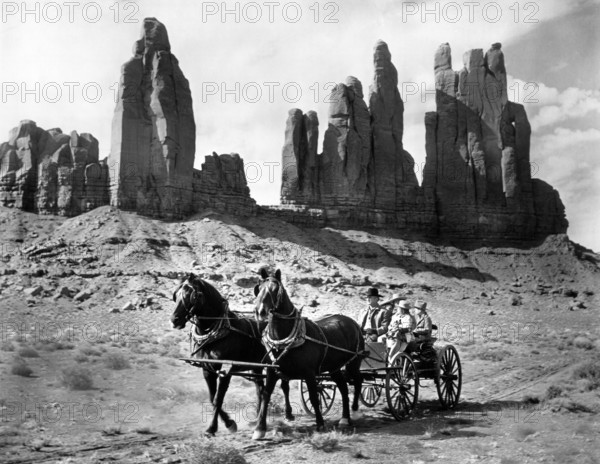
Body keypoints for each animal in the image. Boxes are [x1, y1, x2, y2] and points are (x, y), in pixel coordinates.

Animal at [170, 272, 294, 436]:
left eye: (192, 295)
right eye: (176, 295)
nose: (174, 320)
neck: (216, 335)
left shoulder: (225, 371)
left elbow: (218, 399)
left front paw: (214, 427)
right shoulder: (208, 369)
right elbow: (212, 398)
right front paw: (228, 423)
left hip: (278, 364)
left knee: (284, 386)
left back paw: (288, 414)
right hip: (257, 366)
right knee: (260, 389)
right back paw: (257, 418)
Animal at [253, 268, 366, 438]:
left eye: (275, 289)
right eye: (258, 289)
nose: (261, 312)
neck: (283, 340)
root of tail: (353, 322)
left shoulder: (309, 373)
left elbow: (313, 397)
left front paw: (320, 424)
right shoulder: (272, 371)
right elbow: (266, 395)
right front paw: (260, 428)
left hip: (353, 363)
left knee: (358, 380)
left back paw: (354, 411)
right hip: (334, 368)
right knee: (343, 387)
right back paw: (345, 418)